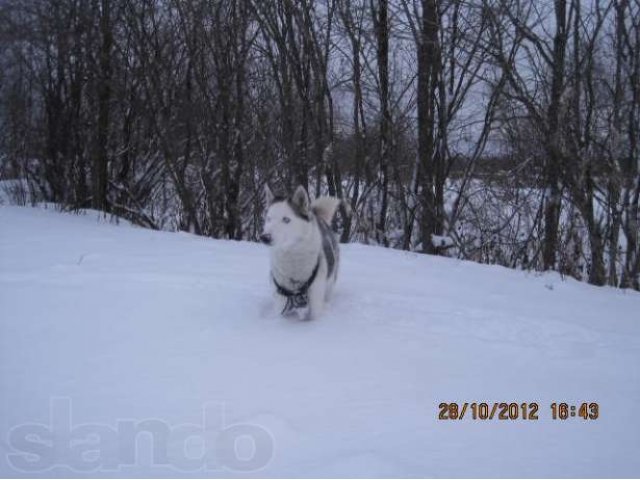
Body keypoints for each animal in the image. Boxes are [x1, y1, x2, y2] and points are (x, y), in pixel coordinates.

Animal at [260, 186, 342, 320]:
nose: (265, 237)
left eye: (286, 219)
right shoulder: (280, 302)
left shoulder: (315, 304)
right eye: (269, 219)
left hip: (329, 283)